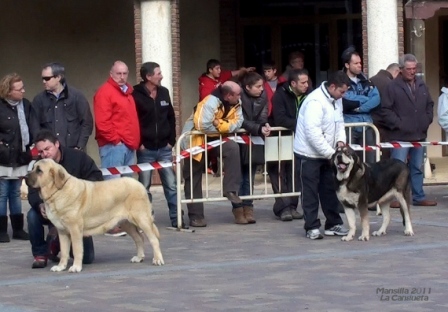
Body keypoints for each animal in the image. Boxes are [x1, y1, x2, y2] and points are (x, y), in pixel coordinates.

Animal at [25, 160, 164, 272]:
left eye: (39, 170)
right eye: (33, 167)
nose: (25, 177)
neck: (57, 191)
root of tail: (139, 185)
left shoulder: (75, 230)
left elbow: (77, 249)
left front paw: (76, 267)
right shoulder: (62, 231)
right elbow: (64, 252)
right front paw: (60, 267)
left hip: (142, 219)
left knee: (153, 239)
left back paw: (157, 259)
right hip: (126, 223)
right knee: (139, 238)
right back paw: (139, 257)